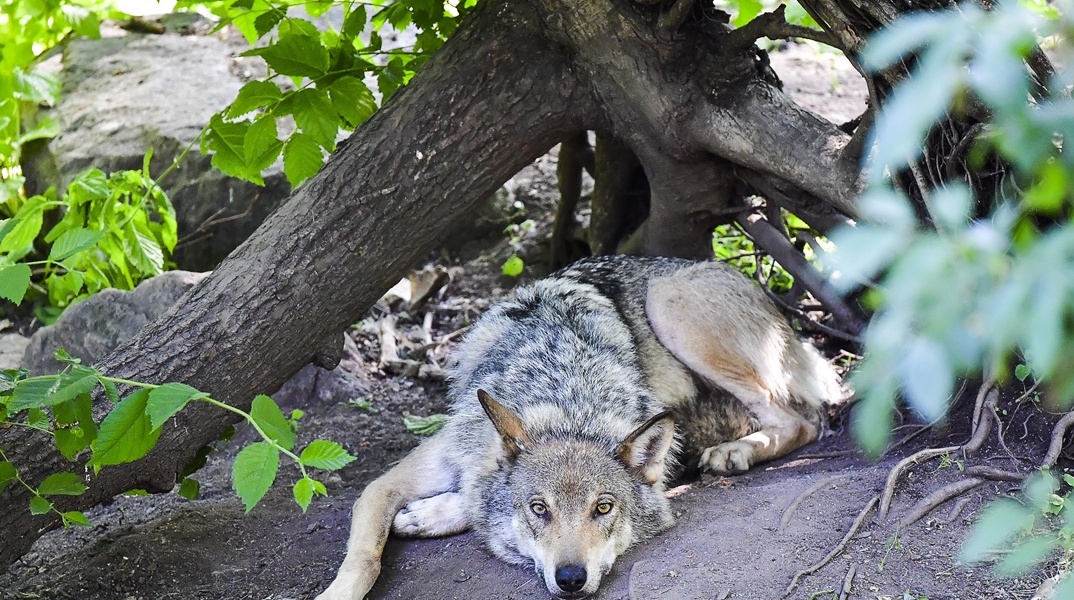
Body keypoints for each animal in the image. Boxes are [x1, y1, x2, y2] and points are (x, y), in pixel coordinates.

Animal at [313, 254, 842, 600]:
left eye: (603, 508)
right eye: (539, 509)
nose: (571, 578)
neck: (564, 401)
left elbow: (474, 503)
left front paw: (438, 512)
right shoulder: (386, 484)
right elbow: (365, 556)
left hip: (671, 306)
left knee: (803, 420)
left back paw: (737, 451)